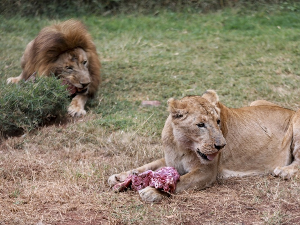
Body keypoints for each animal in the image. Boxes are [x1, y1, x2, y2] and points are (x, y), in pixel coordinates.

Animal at [109, 90, 300, 203]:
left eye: (218, 121)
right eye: (200, 125)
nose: (222, 145)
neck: (181, 145)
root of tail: (290, 110)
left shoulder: (206, 172)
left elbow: (181, 181)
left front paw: (152, 191)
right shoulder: (170, 161)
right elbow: (147, 166)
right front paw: (120, 177)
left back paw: (284, 171)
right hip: (257, 101)